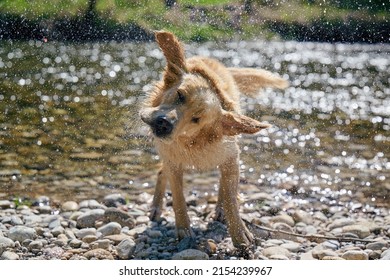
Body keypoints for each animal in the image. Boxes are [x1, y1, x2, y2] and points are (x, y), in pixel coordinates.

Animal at [140, 31, 286, 249]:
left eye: (196, 119)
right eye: (180, 95)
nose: (164, 123)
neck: (193, 141)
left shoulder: (231, 158)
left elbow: (230, 197)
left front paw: (240, 234)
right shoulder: (173, 161)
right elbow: (179, 198)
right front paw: (184, 231)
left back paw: (219, 210)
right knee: (161, 173)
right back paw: (156, 207)